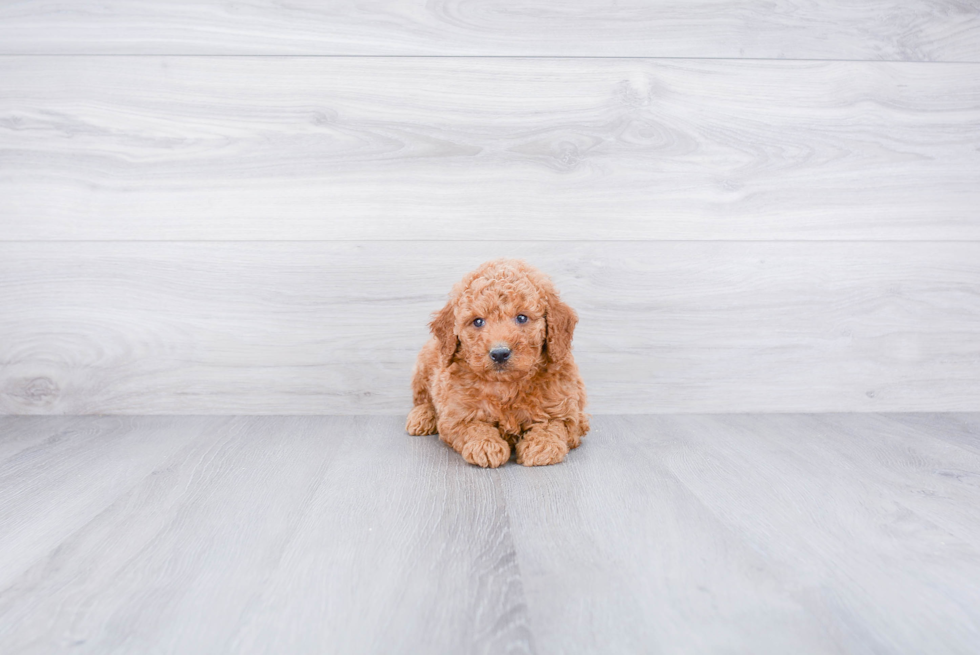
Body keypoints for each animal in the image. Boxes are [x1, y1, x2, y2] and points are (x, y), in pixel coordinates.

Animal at [406, 258, 588, 468]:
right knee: (423, 399)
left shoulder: (572, 415)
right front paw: (486, 445)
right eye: (478, 321)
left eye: (522, 317)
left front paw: (542, 446)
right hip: (425, 363)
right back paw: (422, 416)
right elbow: (473, 426)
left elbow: (553, 425)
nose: (500, 353)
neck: (506, 385)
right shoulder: (455, 415)